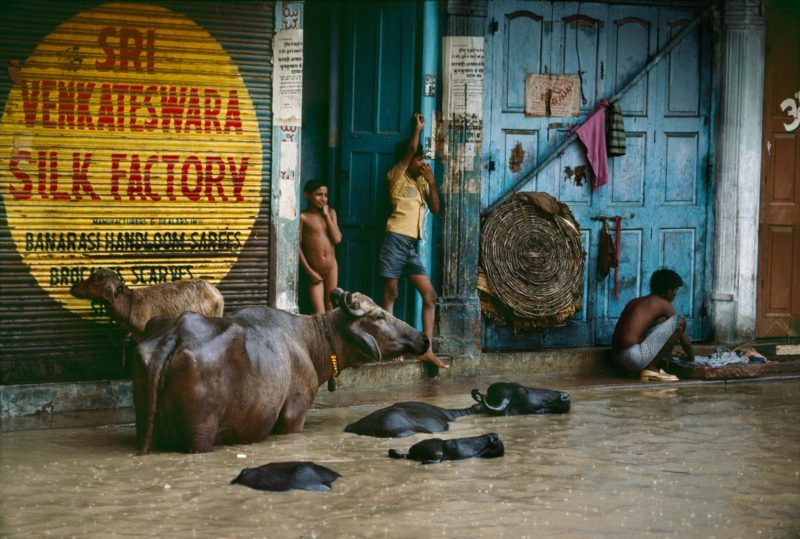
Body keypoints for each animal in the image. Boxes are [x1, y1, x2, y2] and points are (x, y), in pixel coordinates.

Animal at [133, 288, 432, 454]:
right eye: (379, 315)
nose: (423, 338)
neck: (308, 341)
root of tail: (176, 334)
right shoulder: (293, 416)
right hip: (200, 436)